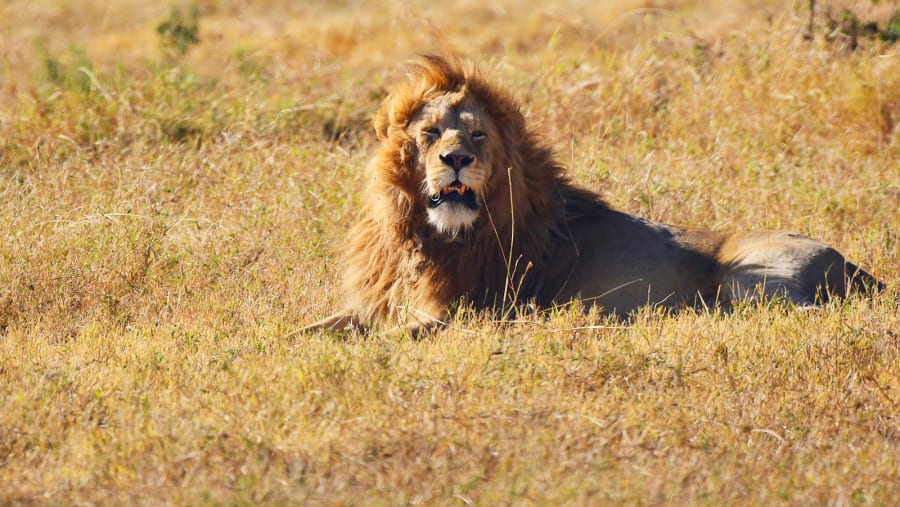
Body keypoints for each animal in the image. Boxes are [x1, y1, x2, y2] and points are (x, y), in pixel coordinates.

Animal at [305, 55, 883, 335]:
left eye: (477, 136)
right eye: (429, 134)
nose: (456, 160)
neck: (424, 238)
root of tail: (856, 267)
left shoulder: (466, 311)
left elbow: (393, 337)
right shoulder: (374, 302)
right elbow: (308, 329)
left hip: (751, 277)